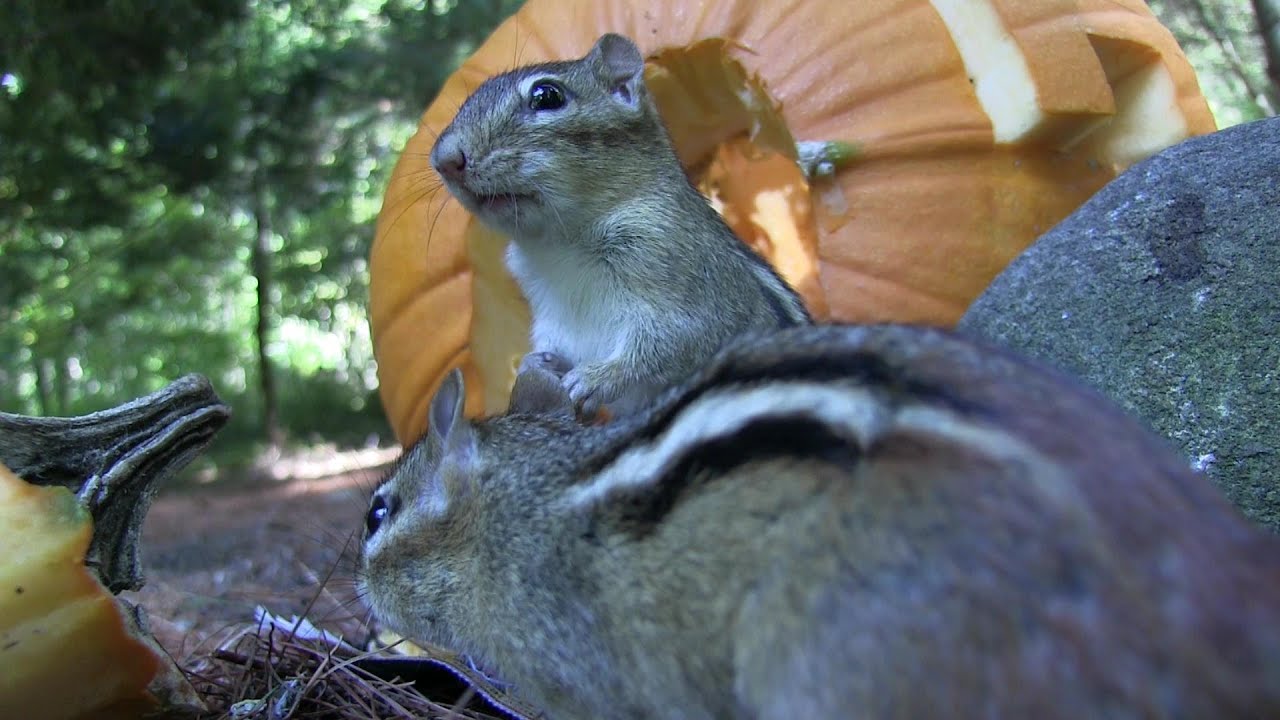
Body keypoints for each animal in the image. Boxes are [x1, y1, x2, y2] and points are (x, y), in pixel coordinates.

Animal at [429, 33, 811, 418]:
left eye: (547, 96)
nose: (444, 159)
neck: (559, 242)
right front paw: (533, 364)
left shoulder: (685, 280)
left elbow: (674, 343)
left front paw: (597, 378)